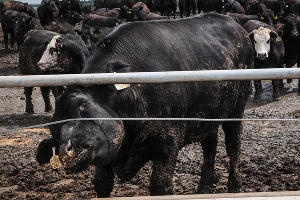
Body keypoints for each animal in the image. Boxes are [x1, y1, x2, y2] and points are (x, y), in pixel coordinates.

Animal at [36, 13, 254, 197]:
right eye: (55, 131)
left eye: (83, 104)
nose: (67, 151)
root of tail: (236, 25)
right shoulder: (105, 159)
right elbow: (102, 185)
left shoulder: (169, 141)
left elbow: (160, 186)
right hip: (209, 115)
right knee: (210, 146)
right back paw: (204, 187)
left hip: (236, 109)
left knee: (233, 145)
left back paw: (235, 186)